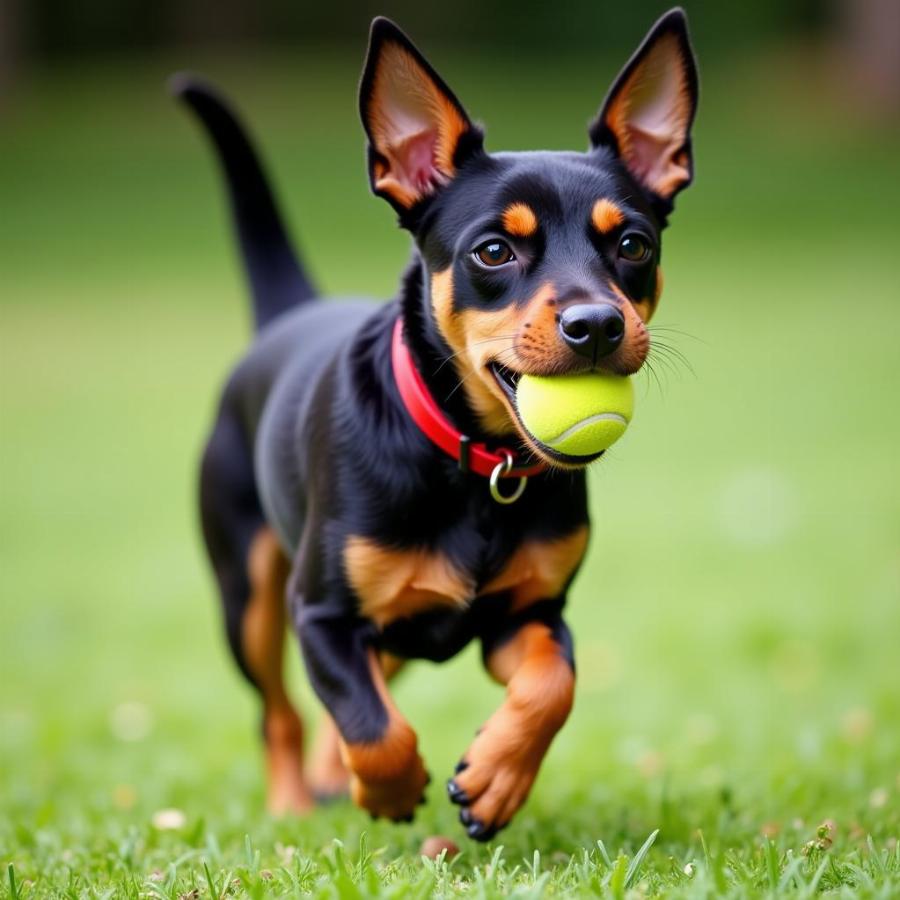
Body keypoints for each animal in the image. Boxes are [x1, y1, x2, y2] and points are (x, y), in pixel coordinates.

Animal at [174, 7, 696, 840]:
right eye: (494, 250)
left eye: (633, 244)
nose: (596, 326)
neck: (473, 465)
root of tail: (288, 315)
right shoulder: (320, 614)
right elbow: (371, 725)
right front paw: (388, 788)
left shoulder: (529, 614)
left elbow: (554, 685)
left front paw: (496, 778)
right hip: (247, 595)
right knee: (281, 713)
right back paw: (294, 803)